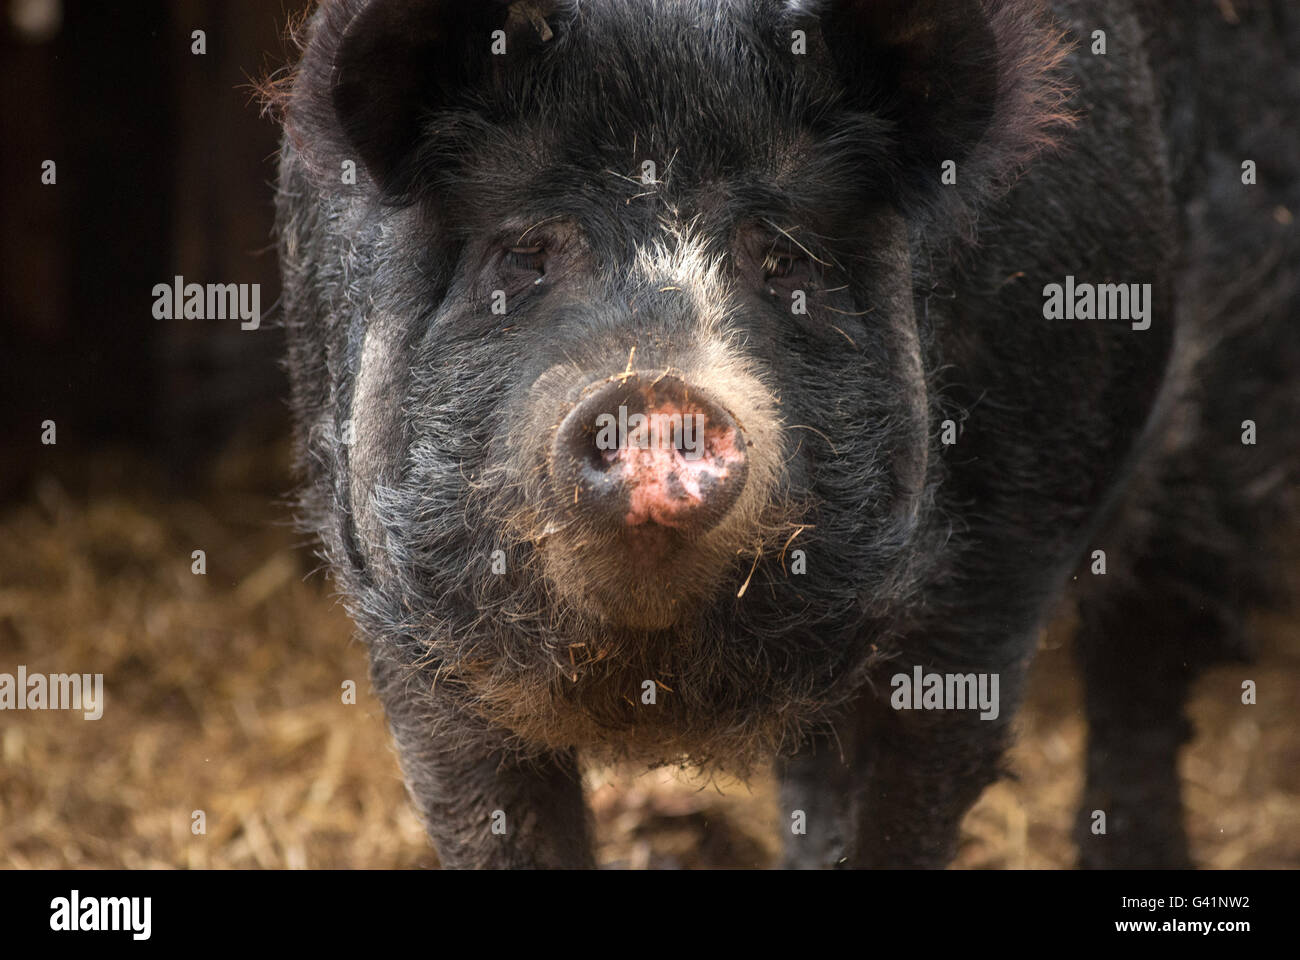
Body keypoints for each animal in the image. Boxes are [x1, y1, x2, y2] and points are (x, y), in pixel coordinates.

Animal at [270, 0, 1299, 868]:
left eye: (785, 260)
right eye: (525, 252)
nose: (655, 390)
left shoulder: (992, 584)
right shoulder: (399, 609)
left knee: (1146, 647)